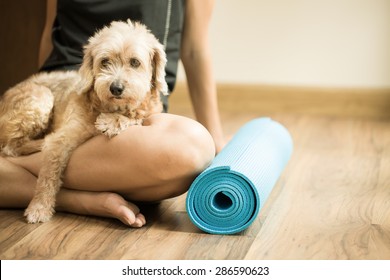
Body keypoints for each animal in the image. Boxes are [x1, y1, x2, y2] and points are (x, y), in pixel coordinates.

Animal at [0, 19, 168, 223]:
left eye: (135, 62)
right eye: (105, 61)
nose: (116, 88)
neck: (107, 106)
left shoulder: (148, 112)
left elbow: (136, 118)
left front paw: (111, 121)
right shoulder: (60, 141)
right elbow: (48, 175)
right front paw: (39, 207)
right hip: (41, 99)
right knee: (11, 146)